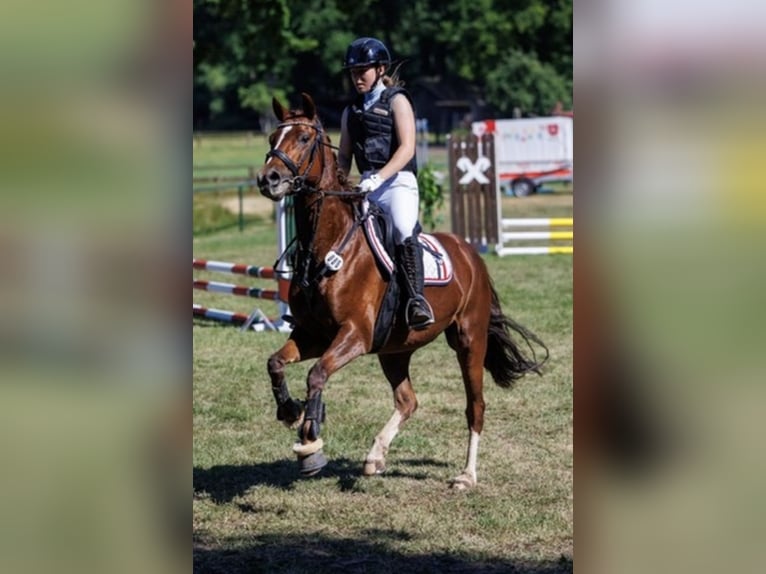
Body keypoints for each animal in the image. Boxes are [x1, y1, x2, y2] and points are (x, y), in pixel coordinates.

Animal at [258, 94, 552, 490]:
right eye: (273, 137)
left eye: (304, 138)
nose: (268, 178)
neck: (330, 245)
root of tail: (470, 253)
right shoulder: (314, 335)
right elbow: (276, 363)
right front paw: (291, 411)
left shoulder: (355, 335)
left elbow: (317, 375)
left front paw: (310, 438)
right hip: (394, 350)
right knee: (407, 401)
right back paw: (375, 457)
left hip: (469, 340)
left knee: (475, 406)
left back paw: (466, 475)